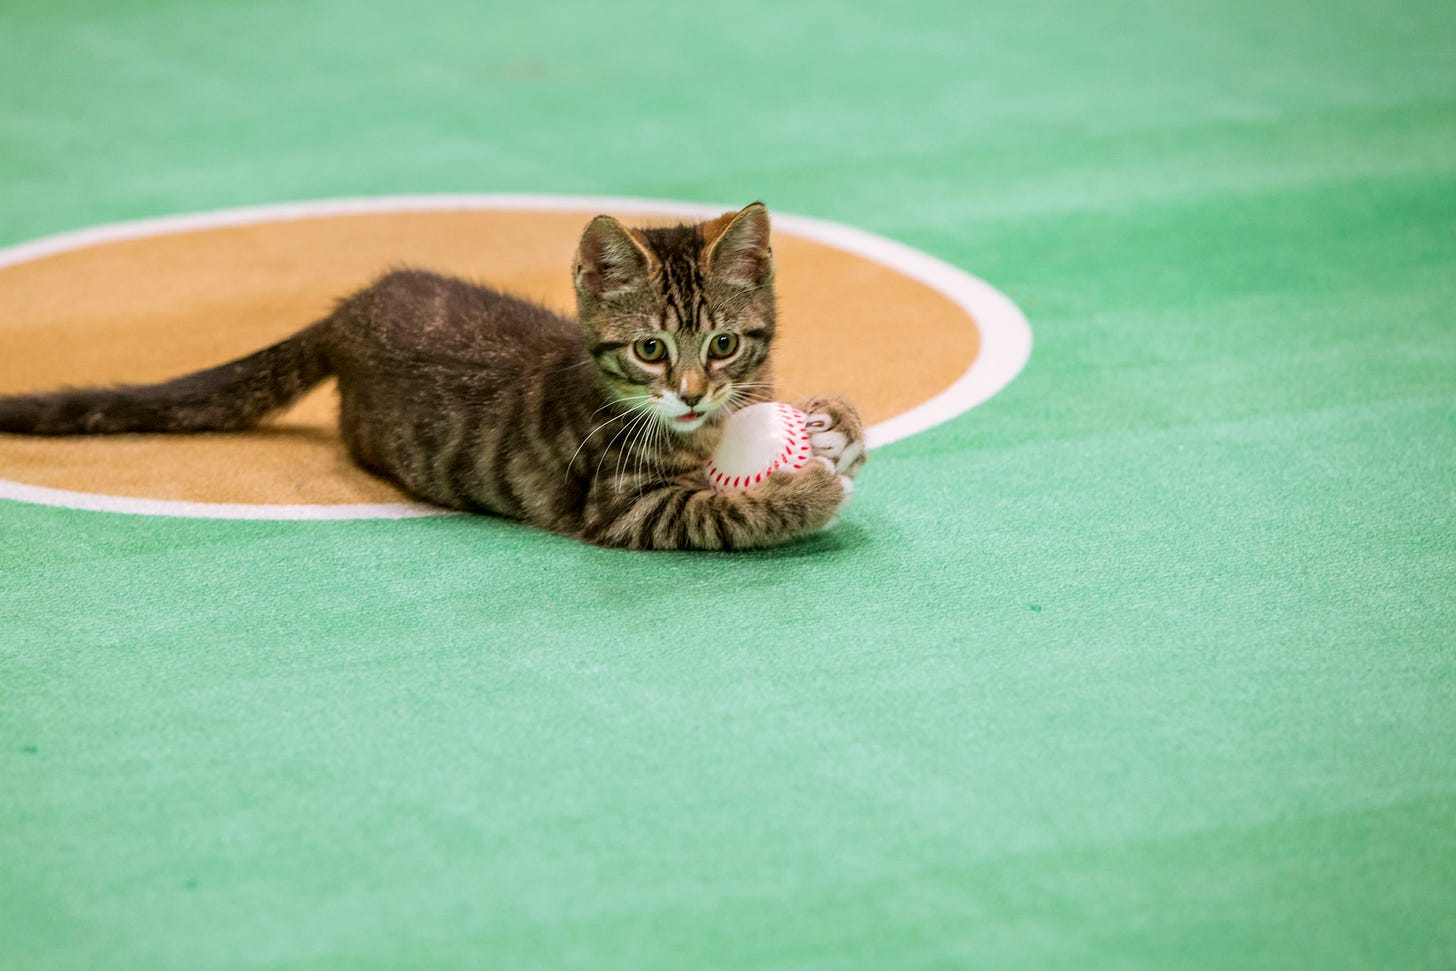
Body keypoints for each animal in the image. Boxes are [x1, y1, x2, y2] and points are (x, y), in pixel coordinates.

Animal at [0, 200, 861, 550]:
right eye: (650, 349)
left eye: (723, 344)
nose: (689, 393)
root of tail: (354, 305)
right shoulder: (622, 506)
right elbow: (722, 510)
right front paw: (807, 495)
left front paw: (835, 422)